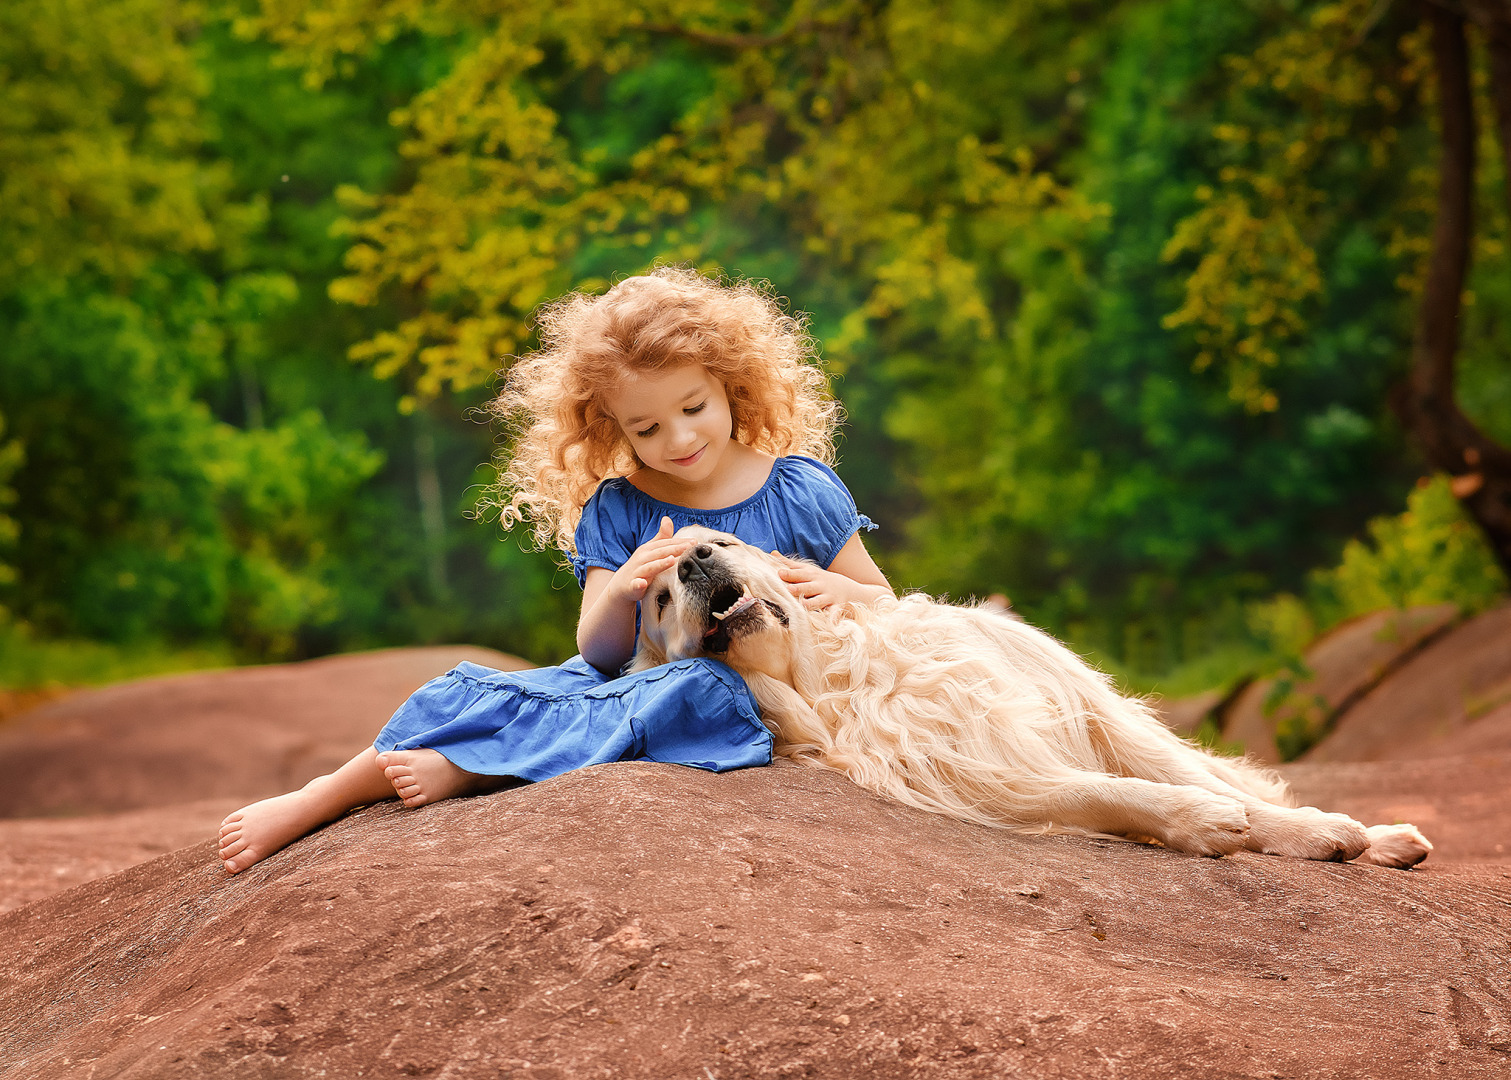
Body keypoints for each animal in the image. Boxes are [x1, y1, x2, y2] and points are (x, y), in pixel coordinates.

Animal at [631, 528, 1432, 876]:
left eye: (721, 541)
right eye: (661, 599)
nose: (693, 560)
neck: (835, 674)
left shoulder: (1085, 707)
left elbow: (1195, 779)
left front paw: (1321, 829)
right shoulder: (979, 775)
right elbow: (1118, 793)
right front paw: (1203, 823)